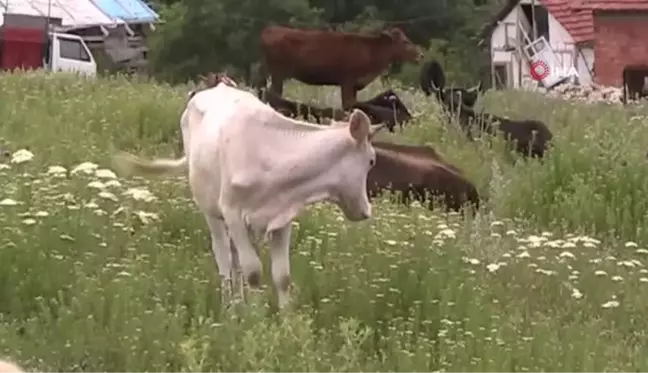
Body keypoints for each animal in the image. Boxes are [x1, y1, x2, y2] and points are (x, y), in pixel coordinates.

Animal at [114, 84, 384, 308]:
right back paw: (229, 307)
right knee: (224, 256)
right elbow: (253, 271)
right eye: (372, 161)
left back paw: (238, 302)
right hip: (211, 209)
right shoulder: (233, 213)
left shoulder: (283, 216)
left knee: (235, 261)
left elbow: (282, 276)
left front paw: (287, 323)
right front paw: (256, 320)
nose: (366, 211)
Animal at [258, 25, 420, 107]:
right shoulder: (347, 82)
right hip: (278, 73)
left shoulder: (354, 85)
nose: (421, 55)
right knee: (272, 96)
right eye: (405, 41)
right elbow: (347, 106)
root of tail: (271, 29)